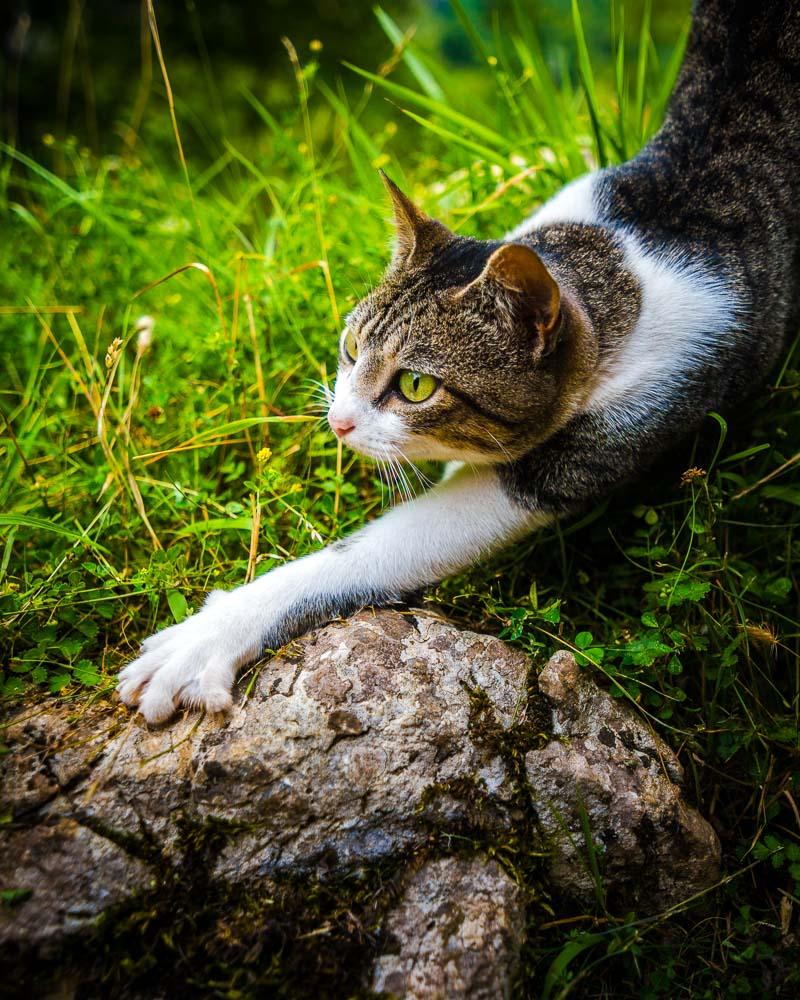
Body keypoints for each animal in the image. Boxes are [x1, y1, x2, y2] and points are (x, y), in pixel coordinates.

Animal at [117, 0, 800, 724]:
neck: (622, 258)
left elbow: (375, 548)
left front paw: (206, 638)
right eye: (351, 348)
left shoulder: (627, 418)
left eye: (416, 385)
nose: (338, 422)